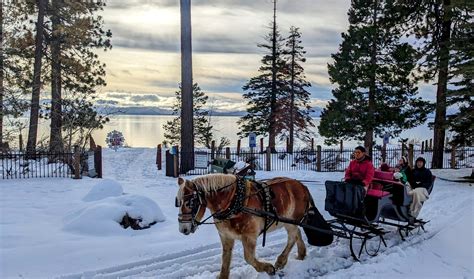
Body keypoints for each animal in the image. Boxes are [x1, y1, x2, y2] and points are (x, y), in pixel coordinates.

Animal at [176, 174, 312, 278]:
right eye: (177, 202)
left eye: (189, 202)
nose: (183, 229)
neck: (234, 202)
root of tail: (302, 186)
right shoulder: (226, 236)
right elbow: (225, 258)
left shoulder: (249, 236)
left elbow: (249, 258)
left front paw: (268, 268)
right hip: (289, 223)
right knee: (297, 233)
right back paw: (301, 254)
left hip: (291, 222)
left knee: (292, 237)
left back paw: (280, 261)